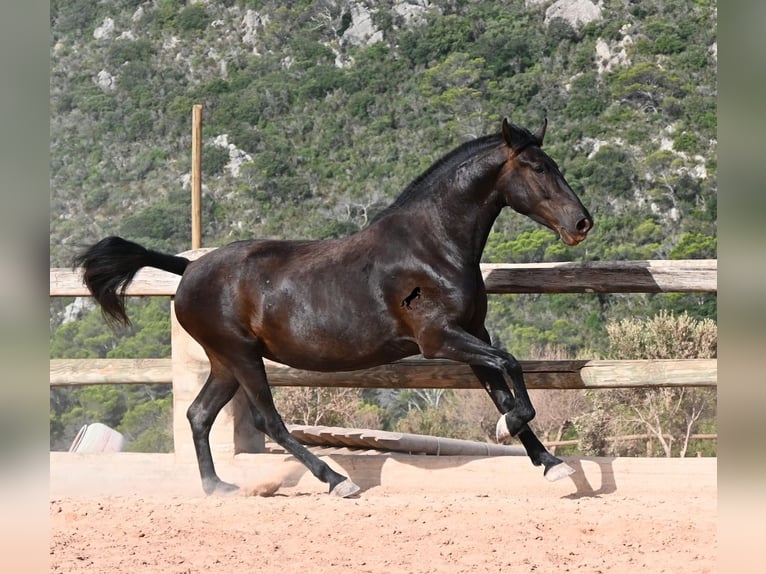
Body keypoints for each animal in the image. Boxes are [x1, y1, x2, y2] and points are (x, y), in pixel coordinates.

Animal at [74, 117, 593, 497]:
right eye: (538, 168)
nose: (582, 223)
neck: (432, 245)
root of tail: (187, 269)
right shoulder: (439, 338)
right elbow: (511, 367)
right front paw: (509, 432)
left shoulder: (472, 333)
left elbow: (502, 386)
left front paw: (551, 464)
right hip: (241, 356)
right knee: (268, 420)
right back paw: (337, 481)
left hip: (224, 361)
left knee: (199, 415)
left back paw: (217, 486)